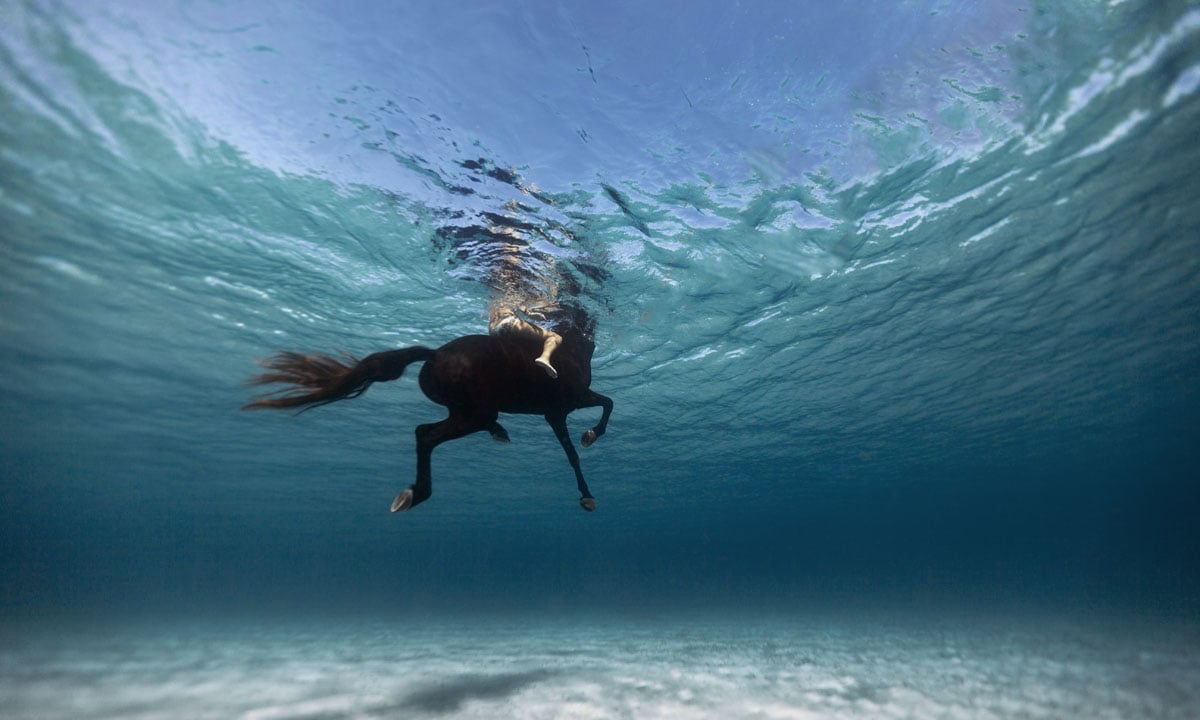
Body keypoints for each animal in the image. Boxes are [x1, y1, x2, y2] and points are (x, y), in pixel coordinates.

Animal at [242, 323, 613, 512]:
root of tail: (434, 354)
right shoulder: (567, 405)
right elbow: (603, 411)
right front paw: (590, 454)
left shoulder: (556, 413)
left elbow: (576, 446)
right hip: (473, 413)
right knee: (425, 434)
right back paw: (415, 493)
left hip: (467, 410)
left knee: (433, 431)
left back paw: (496, 433)